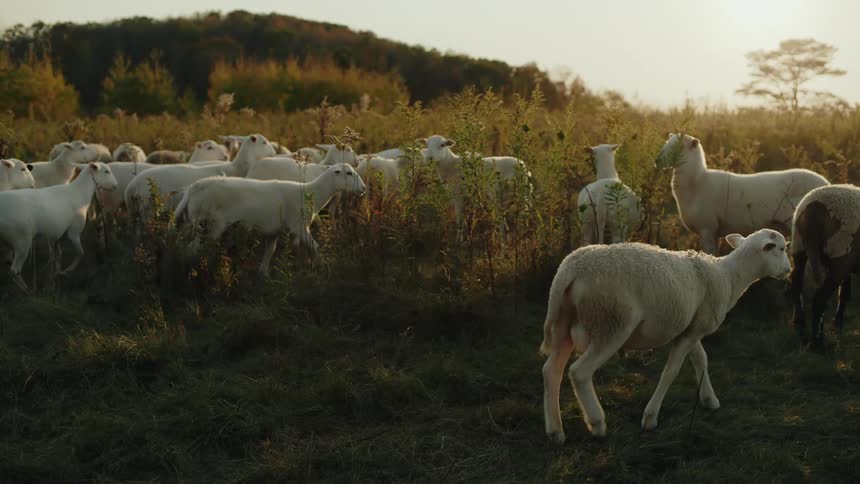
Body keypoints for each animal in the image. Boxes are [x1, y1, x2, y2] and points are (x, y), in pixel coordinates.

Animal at [125, 134, 275, 220]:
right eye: (264, 142)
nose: (274, 153)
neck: (236, 167)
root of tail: (131, 187)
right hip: (147, 209)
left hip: (134, 212)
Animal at [175, 163, 366, 275]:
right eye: (349, 173)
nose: (364, 188)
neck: (310, 193)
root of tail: (191, 190)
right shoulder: (298, 227)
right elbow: (315, 247)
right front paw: (323, 266)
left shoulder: (274, 230)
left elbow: (270, 251)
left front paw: (263, 274)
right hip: (209, 225)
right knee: (193, 249)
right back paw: (194, 271)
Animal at [539, 228, 791, 441]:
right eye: (781, 248)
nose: (789, 271)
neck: (728, 277)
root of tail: (569, 271)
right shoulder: (691, 332)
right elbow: (671, 372)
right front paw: (650, 417)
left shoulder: (692, 328)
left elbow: (701, 360)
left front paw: (709, 399)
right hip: (612, 323)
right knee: (579, 373)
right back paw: (597, 423)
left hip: (563, 324)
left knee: (551, 371)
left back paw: (555, 431)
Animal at [655, 133, 829, 254]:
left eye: (678, 147)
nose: (657, 161)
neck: (697, 182)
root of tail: (826, 184)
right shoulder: (715, 232)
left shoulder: (707, 228)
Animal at [790, 184, 860, 347]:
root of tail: (815, 208)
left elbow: (844, 293)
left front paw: (837, 324)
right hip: (840, 252)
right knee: (819, 299)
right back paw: (817, 342)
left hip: (799, 245)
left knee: (796, 283)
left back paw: (799, 323)